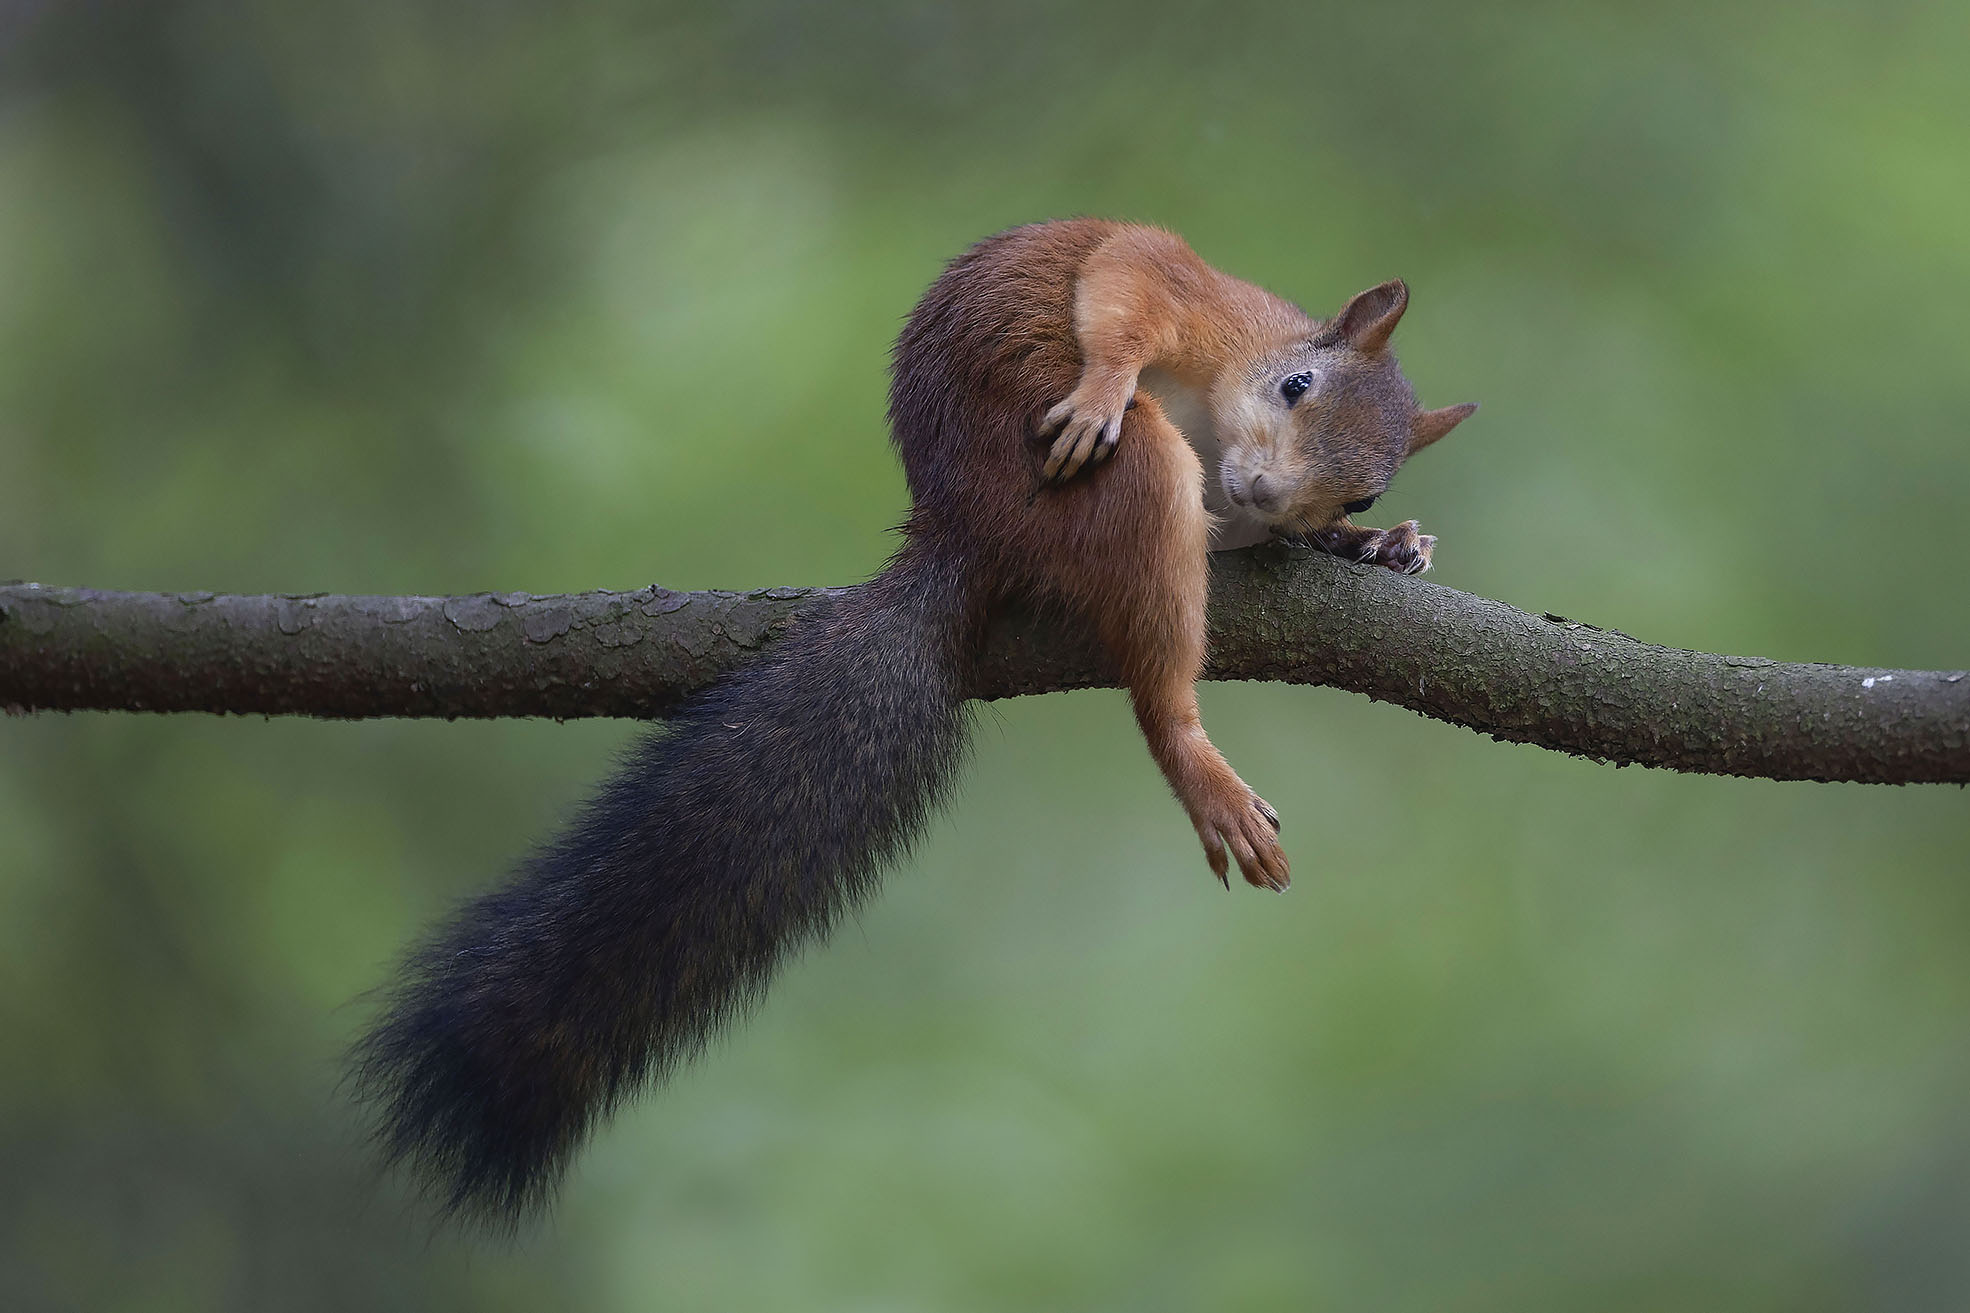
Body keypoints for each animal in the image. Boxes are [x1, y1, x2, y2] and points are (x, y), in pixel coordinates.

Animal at [354, 211, 1481, 1214]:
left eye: (1363, 489)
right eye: (1295, 386)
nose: (1269, 493)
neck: (1233, 376)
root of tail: (967, 526)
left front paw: (1372, 543)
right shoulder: (1193, 292)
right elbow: (1126, 283)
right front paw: (1106, 382)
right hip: (1123, 477)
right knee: (1158, 651)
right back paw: (1190, 745)